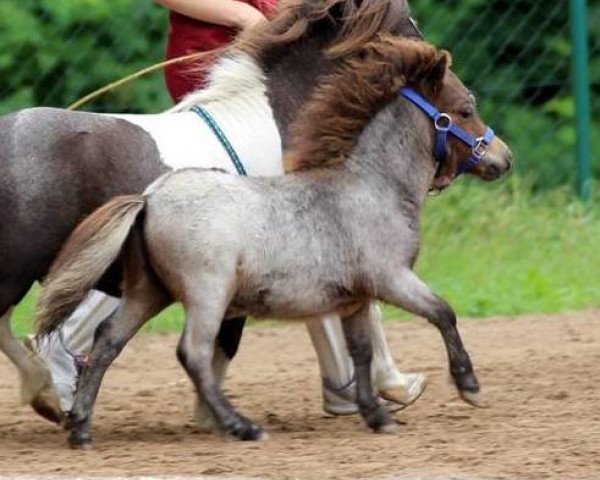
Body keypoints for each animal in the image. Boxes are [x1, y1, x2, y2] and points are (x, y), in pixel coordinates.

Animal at [36, 36, 510, 446]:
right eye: (465, 109)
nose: (504, 158)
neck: (372, 187)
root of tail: (150, 197)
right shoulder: (391, 279)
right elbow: (443, 312)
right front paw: (469, 385)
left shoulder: (356, 298)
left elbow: (360, 351)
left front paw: (377, 414)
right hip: (207, 293)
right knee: (193, 353)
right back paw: (241, 426)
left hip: (148, 291)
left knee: (107, 341)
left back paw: (80, 427)